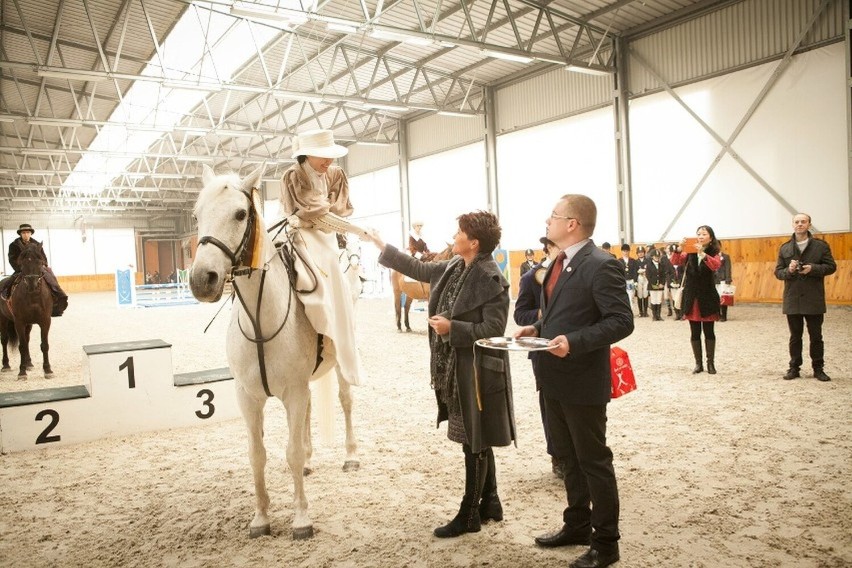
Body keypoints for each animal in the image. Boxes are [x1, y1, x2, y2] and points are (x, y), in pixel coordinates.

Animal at [0, 242, 54, 380]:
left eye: (40, 262)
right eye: (22, 263)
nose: (32, 284)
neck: (33, 297)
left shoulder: (45, 321)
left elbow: (44, 345)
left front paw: (48, 370)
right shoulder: (19, 322)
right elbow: (22, 346)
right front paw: (22, 372)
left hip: (29, 324)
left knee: (27, 339)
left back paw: (29, 363)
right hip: (3, 319)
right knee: (4, 340)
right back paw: (6, 365)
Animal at [188, 164, 358, 536]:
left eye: (240, 214)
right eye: (196, 215)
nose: (202, 279)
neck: (260, 320)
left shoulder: (293, 392)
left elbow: (290, 452)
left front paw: (301, 518)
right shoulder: (248, 397)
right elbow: (257, 455)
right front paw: (261, 517)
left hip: (341, 364)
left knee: (345, 401)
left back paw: (351, 455)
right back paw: (310, 460)